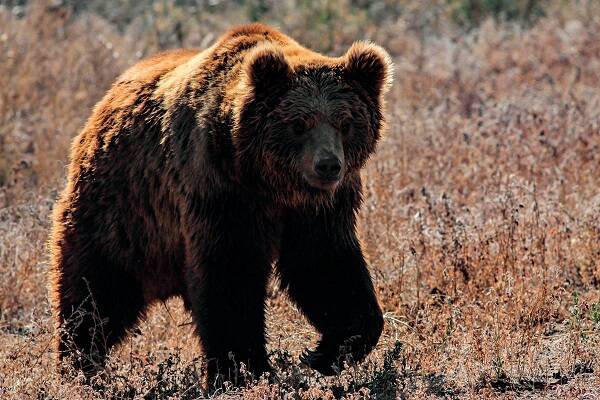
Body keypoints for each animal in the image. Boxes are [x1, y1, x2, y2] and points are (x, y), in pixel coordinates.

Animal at [49, 21, 392, 388]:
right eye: (298, 123)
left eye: (346, 122)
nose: (327, 165)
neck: (271, 185)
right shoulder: (221, 192)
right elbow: (231, 277)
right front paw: (244, 369)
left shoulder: (319, 211)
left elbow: (327, 269)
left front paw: (325, 353)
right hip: (121, 214)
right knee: (94, 293)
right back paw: (79, 365)